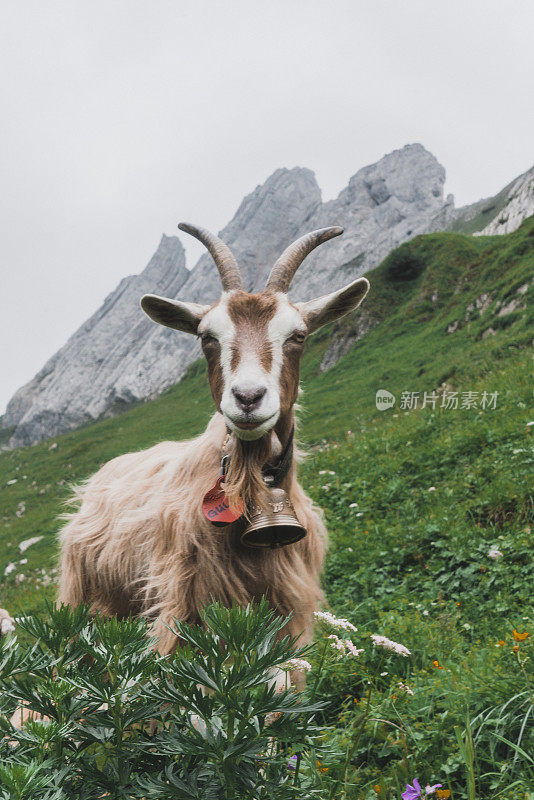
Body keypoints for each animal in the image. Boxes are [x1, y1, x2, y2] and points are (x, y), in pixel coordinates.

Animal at [56, 225, 370, 656]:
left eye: (299, 335)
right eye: (207, 336)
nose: (248, 398)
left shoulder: (286, 604)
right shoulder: (181, 601)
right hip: (85, 596)